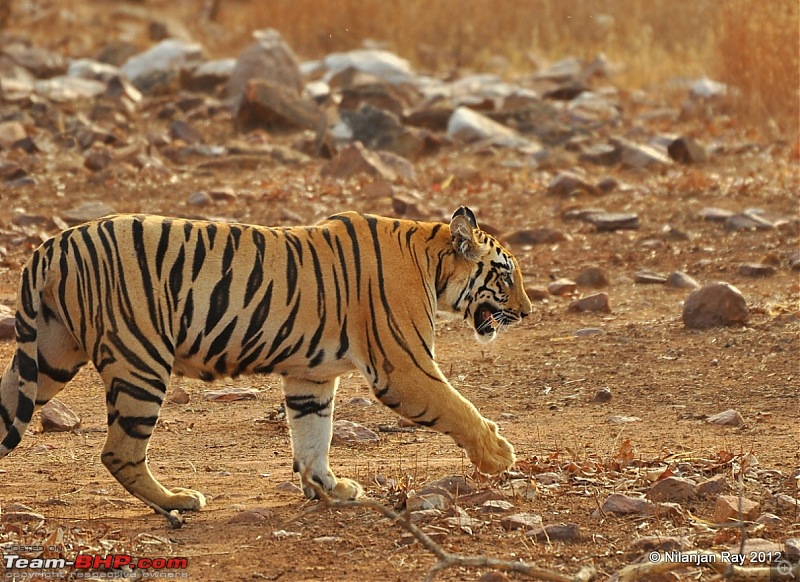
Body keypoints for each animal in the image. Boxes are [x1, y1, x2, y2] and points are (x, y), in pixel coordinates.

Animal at [0, 206, 532, 516]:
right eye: (505, 276)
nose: (527, 312)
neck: (429, 258)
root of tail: (50, 248)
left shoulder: (310, 377)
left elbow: (313, 435)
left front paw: (330, 488)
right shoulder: (403, 367)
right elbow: (459, 407)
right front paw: (499, 454)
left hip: (48, 356)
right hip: (140, 362)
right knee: (120, 452)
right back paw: (178, 502)